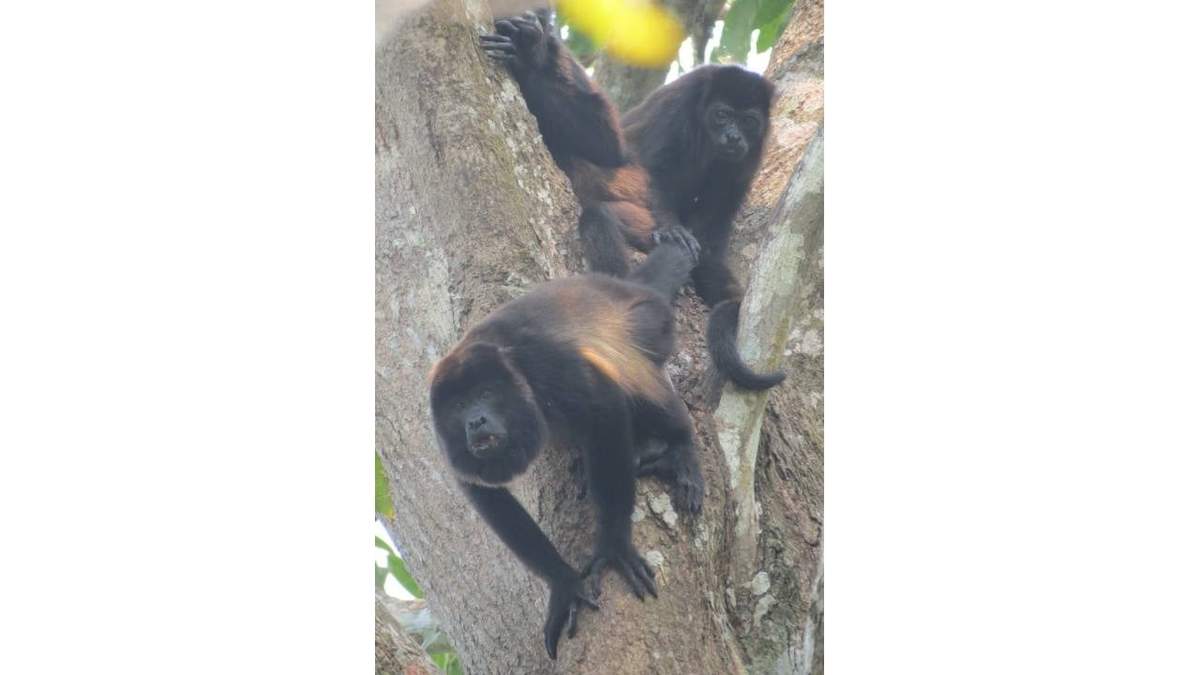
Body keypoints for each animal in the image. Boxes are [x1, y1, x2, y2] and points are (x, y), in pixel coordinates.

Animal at [428, 229, 704, 659]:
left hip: (651, 320)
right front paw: (564, 585)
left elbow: (605, 403)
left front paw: (613, 546)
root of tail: (631, 288)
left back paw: (678, 446)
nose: (475, 420)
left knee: (628, 367)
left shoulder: (543, 364)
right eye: (459, 405)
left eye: (486, 394)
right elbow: (485, 495)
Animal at [480, 13, 785, 391]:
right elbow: (651, 168)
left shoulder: (751, 152)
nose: (734, 136)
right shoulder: (679, 107)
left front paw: (530, 52)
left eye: (748, 121)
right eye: (723, 115)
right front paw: (529, 52)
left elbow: (716, 210)